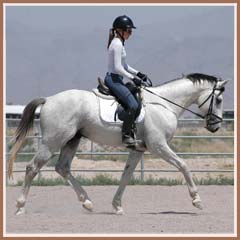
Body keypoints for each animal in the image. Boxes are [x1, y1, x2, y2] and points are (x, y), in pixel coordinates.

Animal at [8, 73, 228, 216]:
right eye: (218, 99)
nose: (215, 126)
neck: (164, 104)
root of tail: (48, 100)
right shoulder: (158, 146)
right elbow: (183, 165)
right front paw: (197, 200)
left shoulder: (139, 149)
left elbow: (126, 175)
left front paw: (117, 206)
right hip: (53, 141)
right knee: (32, 168)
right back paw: (19, 207)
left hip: (72, 140)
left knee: (62, 167)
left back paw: (87, 202)